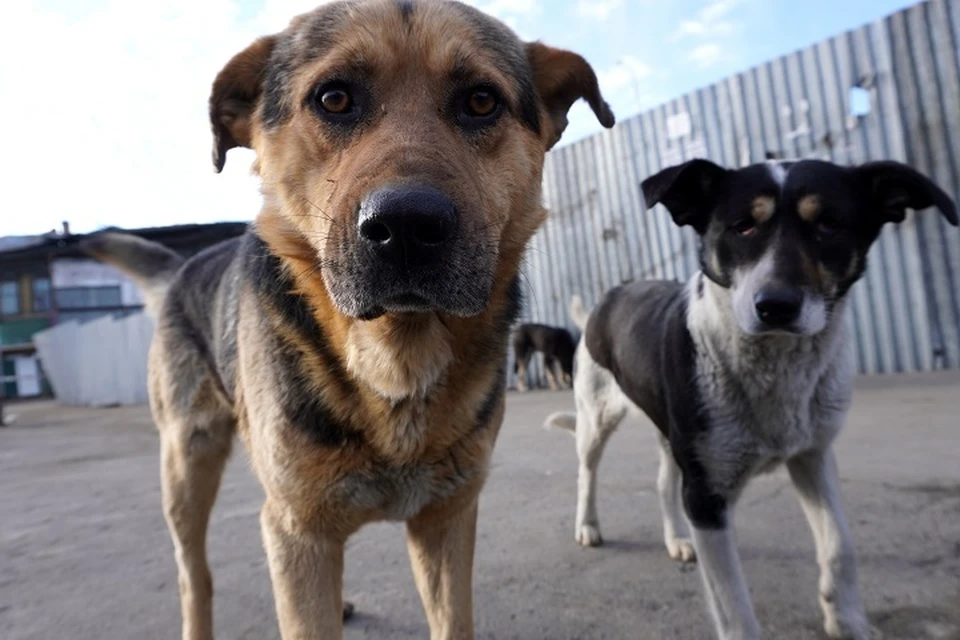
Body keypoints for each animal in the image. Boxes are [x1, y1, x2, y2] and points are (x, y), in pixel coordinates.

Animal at [82, 2, 616, 636]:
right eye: (334, 98)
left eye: (482, 101)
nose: (407, 227)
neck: (394, 362)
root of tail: (184, 266)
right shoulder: (297, 528)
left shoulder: (446, 518)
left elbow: (451, 617)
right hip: (187, 466)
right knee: (195, 576)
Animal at [544, 156, 956, 640]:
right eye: (742, 226)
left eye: (828, 224)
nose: (775, 306)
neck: (775, 365)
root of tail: (608, 297)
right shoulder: (707, 496)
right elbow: (734, 606)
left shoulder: (813, 456)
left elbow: (840, 544)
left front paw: (847, 619)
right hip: (596, 417)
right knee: (586, 473)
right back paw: (588, 526)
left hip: (672, 433)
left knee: (664, 481)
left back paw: (676, 539)